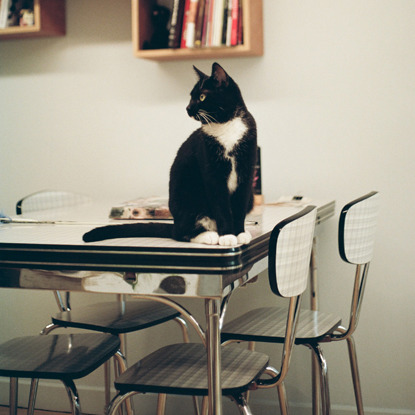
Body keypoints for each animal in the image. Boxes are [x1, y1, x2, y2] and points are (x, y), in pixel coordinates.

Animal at [83, 62, 258, 247]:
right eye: (190, 97)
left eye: (202, 97)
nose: (187, 108)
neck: (225, 126)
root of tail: (174, 224)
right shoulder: (212, 172)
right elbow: (221, 207)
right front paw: (227, 235)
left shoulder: (246, 171)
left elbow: (239, 207)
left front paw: (240, 233)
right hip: (187, 200)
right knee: (181, 233)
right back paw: (209, 235)